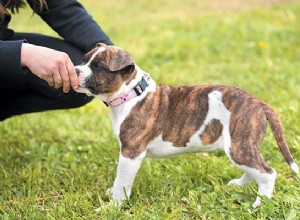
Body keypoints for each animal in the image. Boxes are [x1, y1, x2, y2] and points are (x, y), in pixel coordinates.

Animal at [74, 43, 298, 208]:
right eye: (84, 60)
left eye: (97, 66)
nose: (74, 69)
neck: (131, 93)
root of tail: (259, 103)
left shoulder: (131, 152)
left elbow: (122, 181)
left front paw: (113, 206)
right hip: (241, 147)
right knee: (254, 169)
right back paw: (240, 185)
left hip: (239, 145)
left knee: (267, 173)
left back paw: (260, 204)